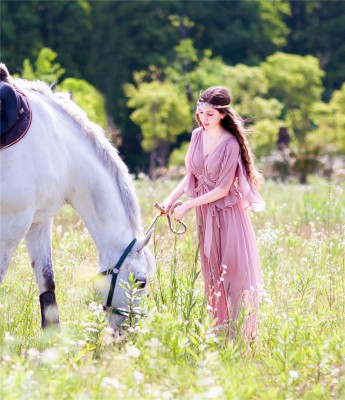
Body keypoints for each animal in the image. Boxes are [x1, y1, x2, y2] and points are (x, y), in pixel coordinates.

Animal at [0, 64, 154, 330]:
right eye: (141, 281)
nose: (130, 330)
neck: (59, 147)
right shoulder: (12, 223)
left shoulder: (39, 221)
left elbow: (47, 281)